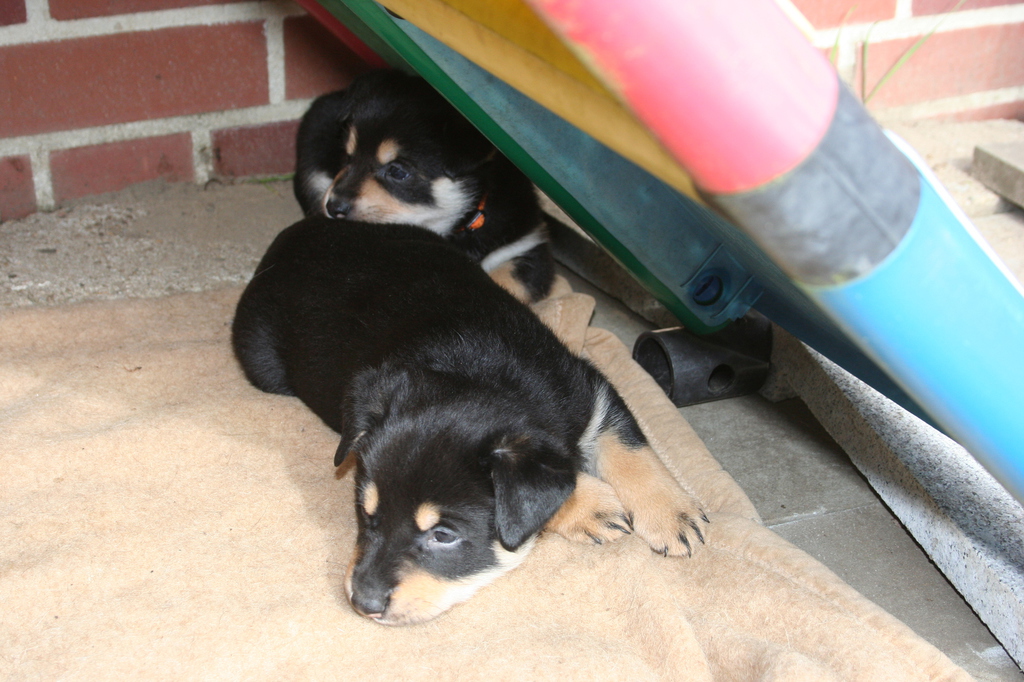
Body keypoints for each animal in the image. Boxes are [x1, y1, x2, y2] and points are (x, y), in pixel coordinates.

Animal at [232, 217, 708, 626]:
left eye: (444, 535)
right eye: (366, 514)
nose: (362, 603)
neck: (483, 373)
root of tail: (293, 236)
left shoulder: (590, 387)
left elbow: (629, 444)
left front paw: (674, 514)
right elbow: (562, 487)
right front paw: (592, 505)